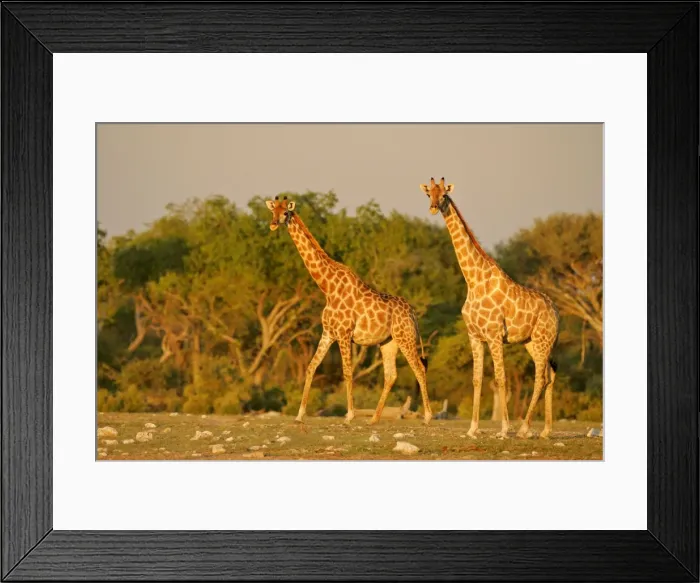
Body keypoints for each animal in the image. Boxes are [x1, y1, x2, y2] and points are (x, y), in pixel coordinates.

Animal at [265, 195, 433, 425]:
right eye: (272, 211)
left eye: (285, 213)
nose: (273, 224)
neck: (327, 287)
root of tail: (413, 313)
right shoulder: (328, 333)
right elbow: (311, 367)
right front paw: (299, 415)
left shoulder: (345, 334)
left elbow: (347, 372)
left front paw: (350, 415)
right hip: (388, 342)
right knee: (391, 375)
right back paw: (374, 419)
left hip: (405, 337)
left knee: (419, 368)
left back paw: (428, 417)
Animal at [419, 178, 560, 439]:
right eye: (428, 194)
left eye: (443, 195)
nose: (433, 208)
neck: (474, 281)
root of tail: (557, 313)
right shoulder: (475, 336)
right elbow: (477, 380)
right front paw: (472, 428)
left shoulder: (494, 335)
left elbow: (500, 378)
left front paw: (504, 429)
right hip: (533, 343)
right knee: (550, 375)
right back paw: (545, 430)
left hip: (543, 340)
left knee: (541, 378)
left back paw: (524, 428)